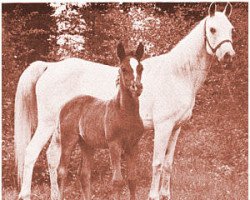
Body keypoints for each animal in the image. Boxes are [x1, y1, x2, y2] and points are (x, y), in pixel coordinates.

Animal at [56, 42, 145, 200]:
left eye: (141, 68)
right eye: (123, 68)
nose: (137, 87)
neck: (125, 113)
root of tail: (65, 105)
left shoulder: (133, 145)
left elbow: (132, 179)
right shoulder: (114, 144)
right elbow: (117, 181)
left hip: (87, 144)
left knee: (84, 174)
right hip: (68, 139)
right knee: (62, 172)